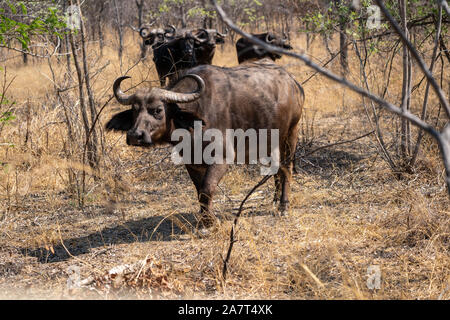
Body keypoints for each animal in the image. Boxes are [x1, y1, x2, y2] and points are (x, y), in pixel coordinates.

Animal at [106, 59, 304, 230]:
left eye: (158, 110)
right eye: (134, 111)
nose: (134, 135)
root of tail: (293, 83)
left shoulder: (221, 159)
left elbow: (207, 189)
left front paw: (209, 223)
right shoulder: (192, 163)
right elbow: (199, 191)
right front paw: (204, 221)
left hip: (291, 134)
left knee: (286, 168)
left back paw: (283, 206)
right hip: (270, 141)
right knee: (277, 168)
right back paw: (274, 200)